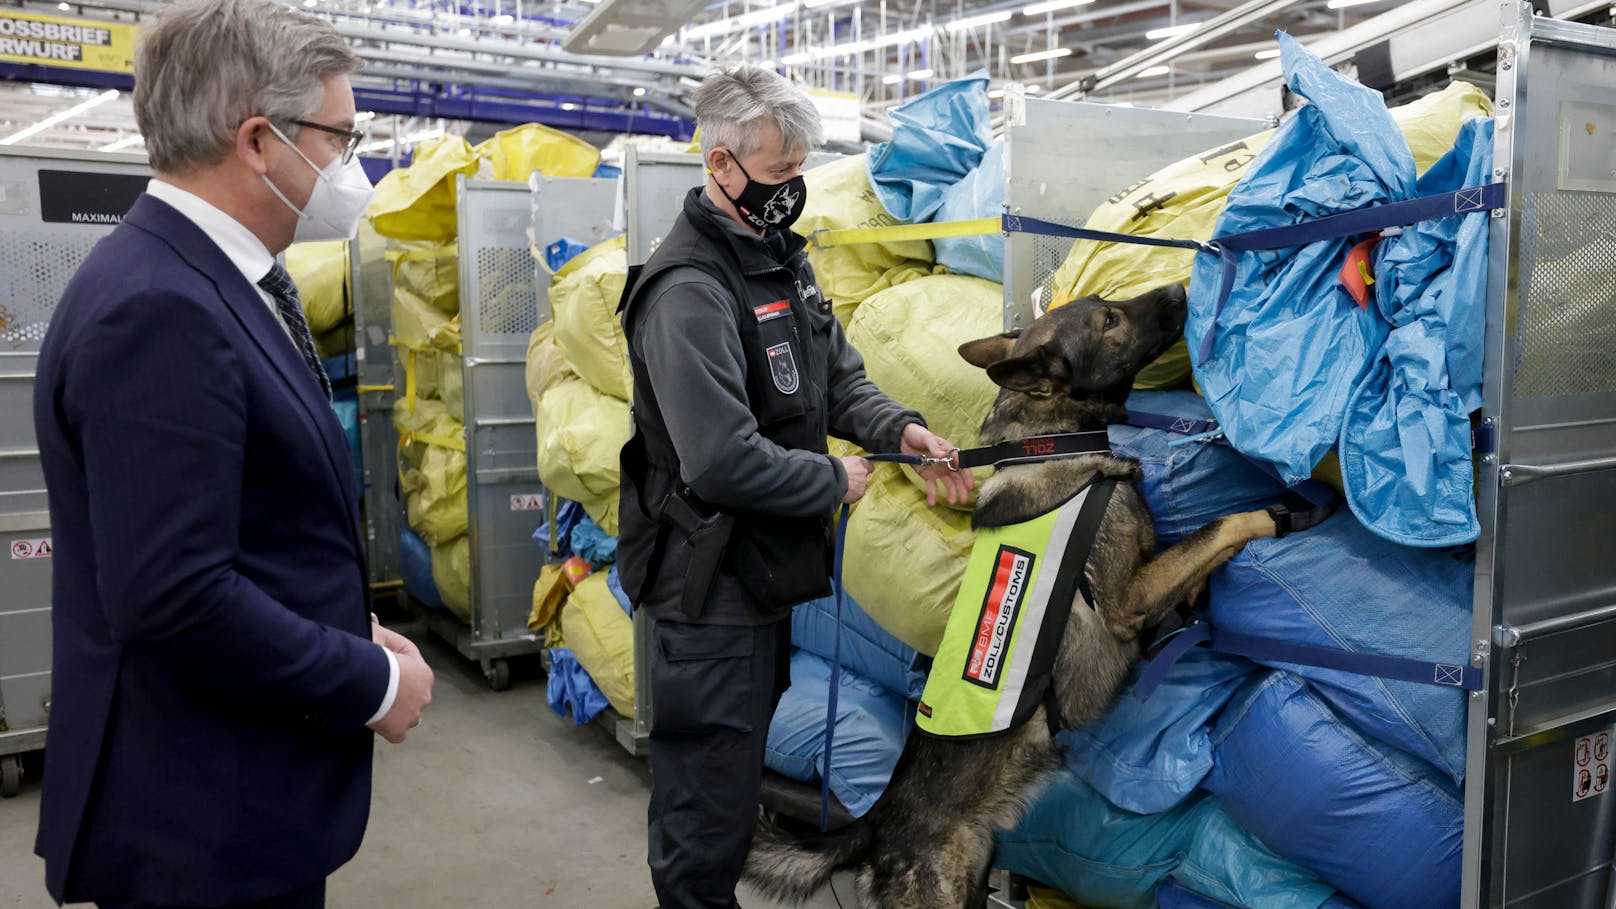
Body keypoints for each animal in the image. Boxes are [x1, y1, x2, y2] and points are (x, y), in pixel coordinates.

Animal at [746, 283, 1312, 905]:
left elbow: (1199, 566)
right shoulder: (1127, 599)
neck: (1053, 442)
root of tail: (876, 821)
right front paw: (1286, 513)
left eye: (1105, 300)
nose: (1178, 288)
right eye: (1109, 320)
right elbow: (1224, 526)